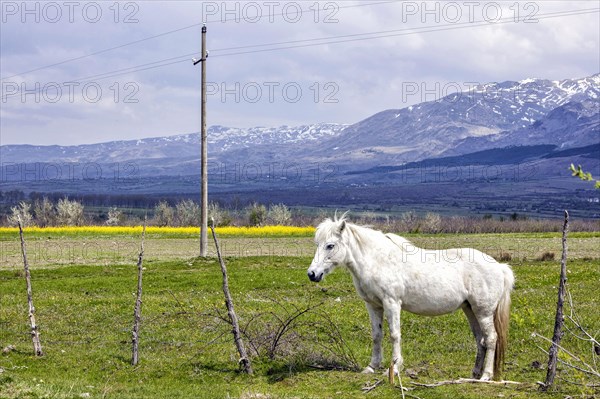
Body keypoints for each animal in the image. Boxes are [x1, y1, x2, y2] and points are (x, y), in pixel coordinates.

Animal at [308, 216, 512, 382]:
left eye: (330, 245)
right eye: (317, 244)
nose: (312, 274)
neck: (378, 261)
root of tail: (500, 267)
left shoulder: (391, 303)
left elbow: (394, 334)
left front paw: (394, 368)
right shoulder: (373, 305)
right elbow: (376, 335)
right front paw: (372, 367)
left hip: (483, 311)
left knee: (491, 339)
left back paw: (486, 376)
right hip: (470, 309)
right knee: (480, 340)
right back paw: (475, 374)